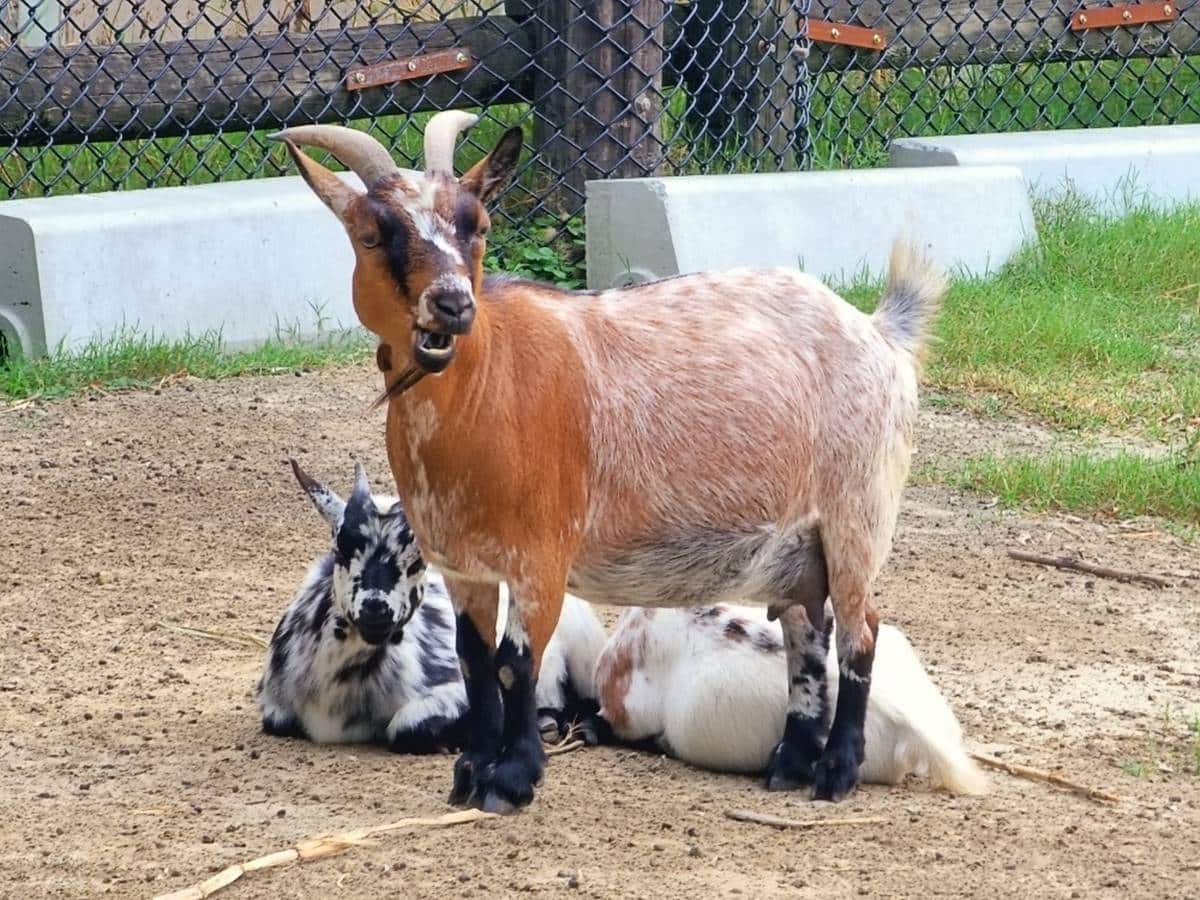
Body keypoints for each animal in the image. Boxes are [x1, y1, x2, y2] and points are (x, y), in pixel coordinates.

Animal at [272, 109, 945, 816]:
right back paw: (790, 762)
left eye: (476, 225)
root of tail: (879, 331)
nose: (453, 304)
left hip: (858, 513)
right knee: (806, 628)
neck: (489, 382)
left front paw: (512, 780)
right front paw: (470, 773)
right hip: (793, 546)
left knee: (860, 629)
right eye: (372, 234)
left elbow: (516, 661)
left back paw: (836, 771)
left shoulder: (543, 555)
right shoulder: (464, 565)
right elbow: (474, 660)